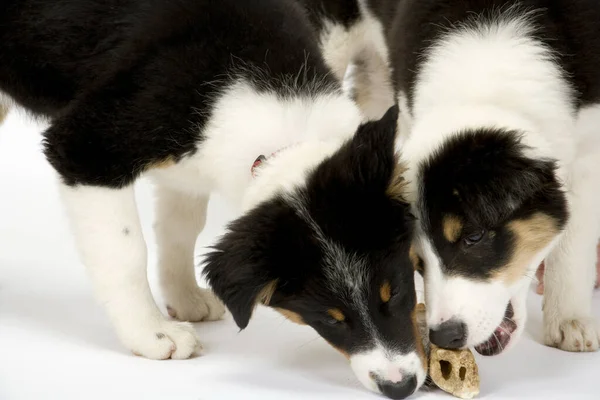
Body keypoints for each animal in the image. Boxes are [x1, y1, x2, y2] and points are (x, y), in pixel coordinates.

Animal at [1, 0, 426, 396]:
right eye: (329, 318)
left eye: (397, 291)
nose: (400, 386)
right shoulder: (85, 148)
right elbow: (126, 252)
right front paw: (152, 333)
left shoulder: (190, 167)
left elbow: (180, 227)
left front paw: (185, 297)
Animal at [370, 0, 600, 356]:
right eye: (418, 261)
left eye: (474, 237)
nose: (445, 337)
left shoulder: (589, 143)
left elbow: (573, 243)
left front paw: (569, 322)